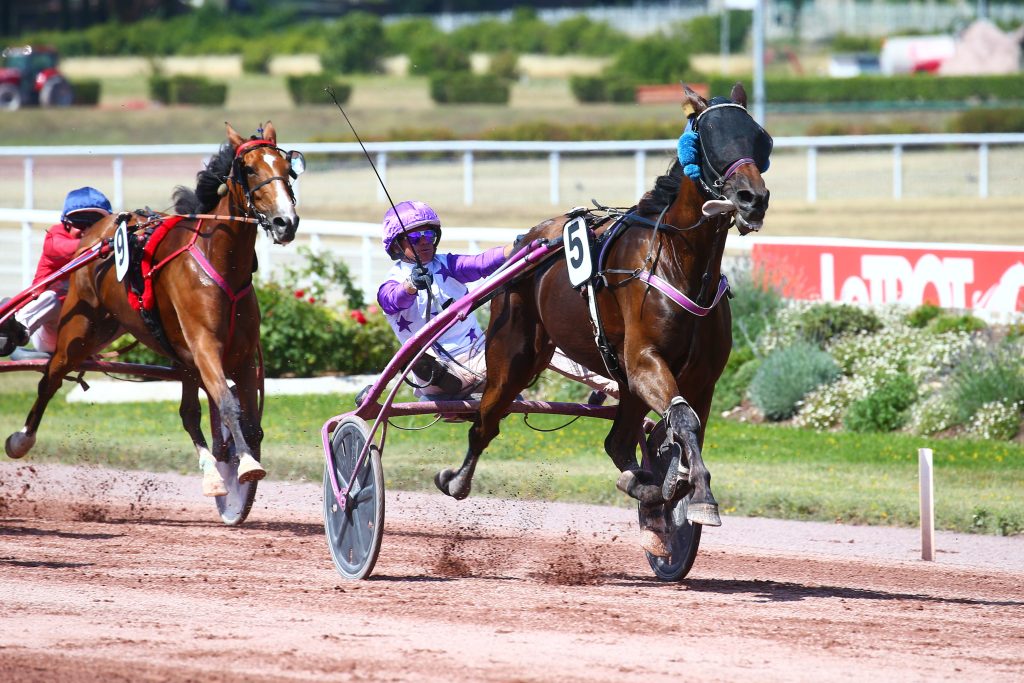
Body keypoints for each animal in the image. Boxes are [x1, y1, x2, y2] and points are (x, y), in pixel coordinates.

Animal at [5, 121, 302, 502]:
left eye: (287, 169)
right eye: (249, 169)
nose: (285, 222)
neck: (218, 258)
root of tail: (98, 231)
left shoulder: (241, 355)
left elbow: (247, 419)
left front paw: (235, 467)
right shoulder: (205, 347)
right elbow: (227, 403)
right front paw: (247, 464)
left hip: (158, 348)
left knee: (188, 412)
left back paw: (212, 474)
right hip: (80, 331)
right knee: (50, 378)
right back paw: (21, 439)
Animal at [433, 84, 772, 554]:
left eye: (759, 138)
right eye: (708, 138)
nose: (752, 199)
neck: (678, 262)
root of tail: (530, 239)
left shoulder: (701, 378)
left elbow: (686, 430)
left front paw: (672, 490)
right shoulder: (645, 361)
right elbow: (683, 421)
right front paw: (699, 494)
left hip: (622, 381)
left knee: (618, 442)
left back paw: (644, 486)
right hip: (514, 354)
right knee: (484, 424)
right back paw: (456, 480)